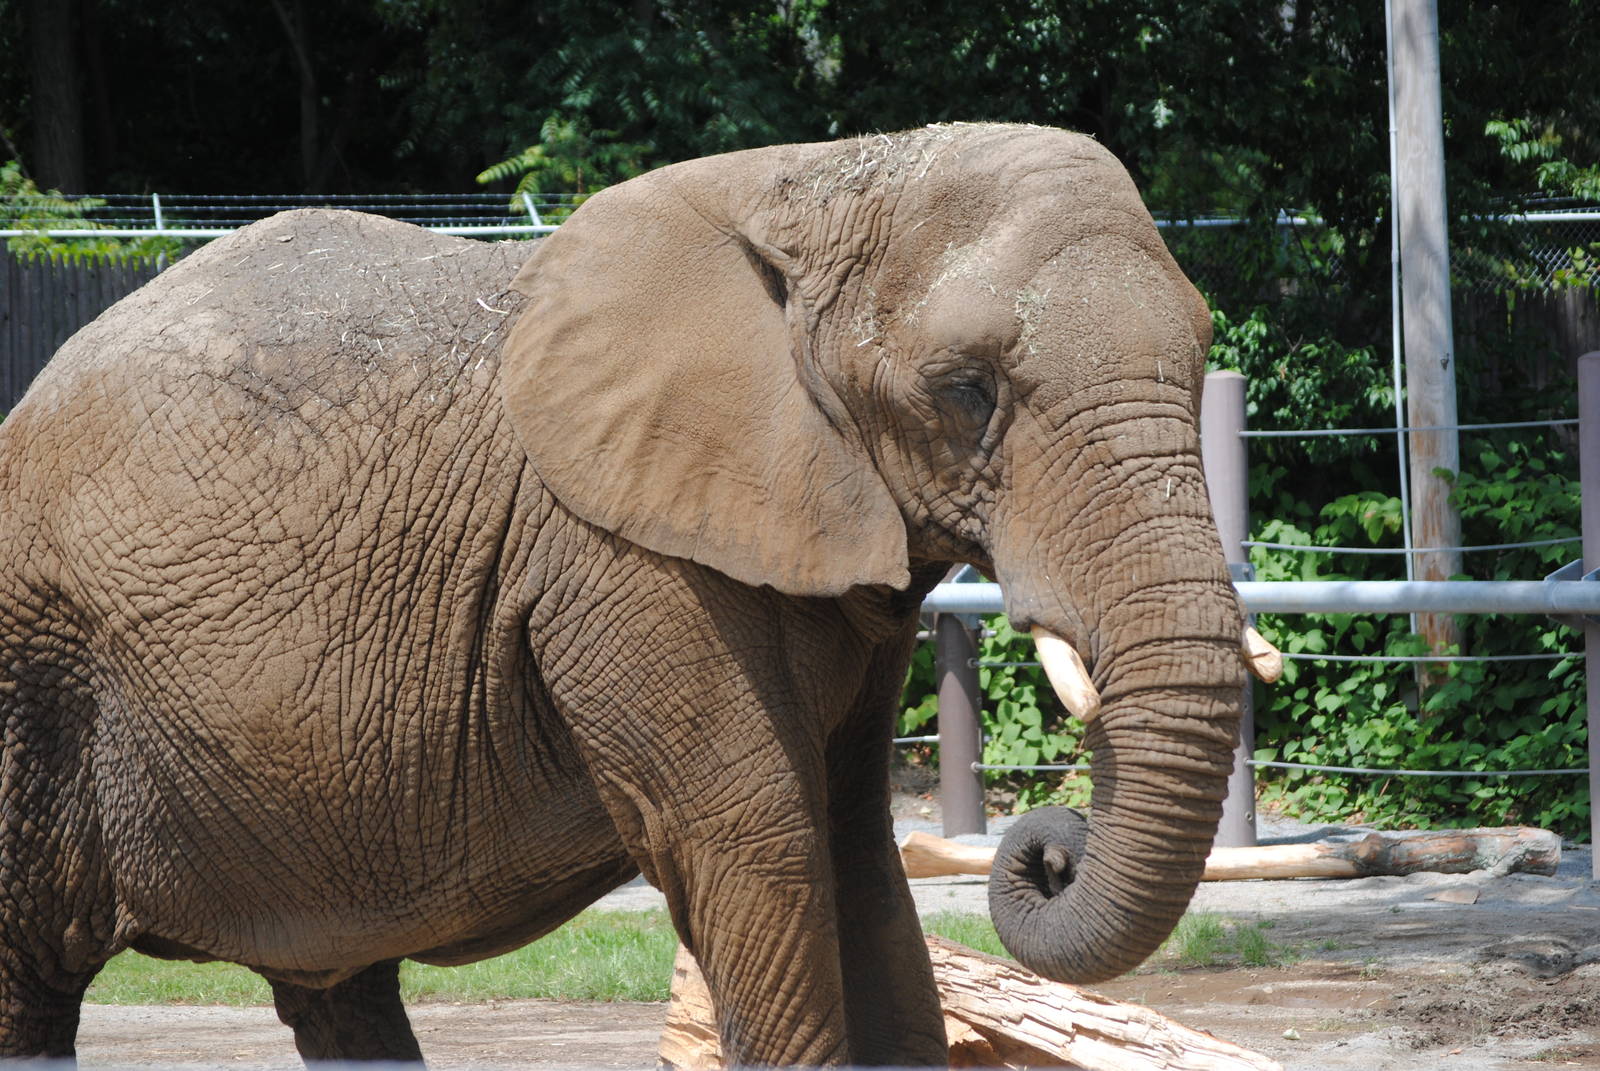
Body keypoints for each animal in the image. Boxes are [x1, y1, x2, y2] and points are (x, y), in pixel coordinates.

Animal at [0, 123, 1272, 1065]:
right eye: (966, 391)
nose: (1046, 848)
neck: (820, 177)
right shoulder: (617, 562)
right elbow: (761, 841)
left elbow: (857, 847)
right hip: (34, 670)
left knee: (339, 988)